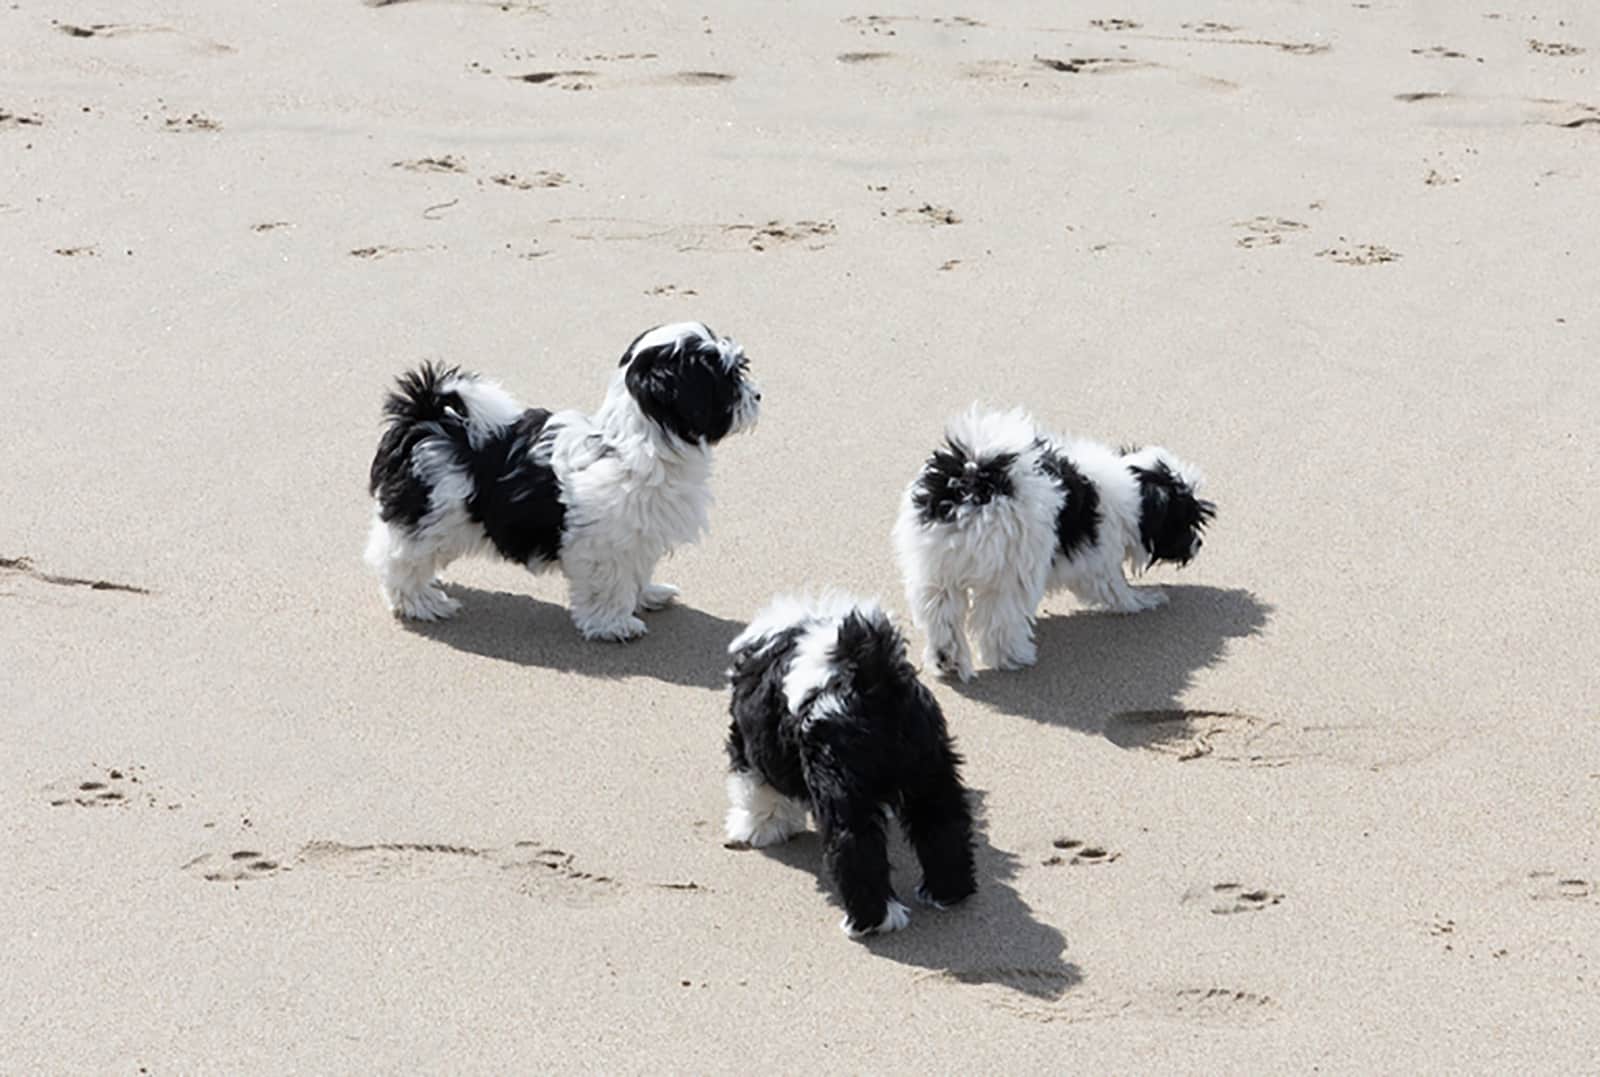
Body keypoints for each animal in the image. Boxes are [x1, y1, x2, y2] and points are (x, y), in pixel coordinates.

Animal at [366, 320, 758, 640]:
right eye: (726, 380)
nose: (758, 395)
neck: (629, 444)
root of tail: (425, 421)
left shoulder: (637, 535)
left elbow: (637, 570)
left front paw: (647, 595)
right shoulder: (603, 546)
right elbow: (608, 584)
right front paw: (612, 624)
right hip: (429, 518)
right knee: (396, 559)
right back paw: (420, 602)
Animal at [726, 592, 972, 934]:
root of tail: (874, 680)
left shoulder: (751, 746)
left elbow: (755, 789)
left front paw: (758, 828)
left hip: (843, 787)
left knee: (855, 847)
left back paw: (871, 921)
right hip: (929, 770)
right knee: (943, 824)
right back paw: (948, 891)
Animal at [889, 403, 1209, 681]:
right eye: (1185, 521)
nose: (1198, 545)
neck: (1130, 489)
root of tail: (970, 482)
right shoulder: (1099, 559)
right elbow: (1116, 589)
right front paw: (1143, 599)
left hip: (934, 568)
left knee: (940, 615)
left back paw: (947, 659)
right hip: (1008, 569)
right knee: (998, 621)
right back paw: (1013, 656)